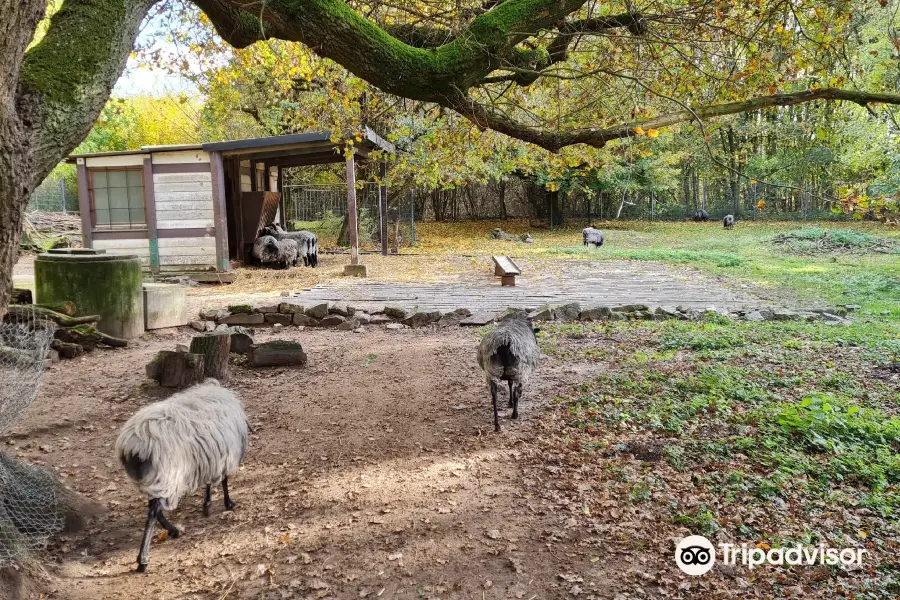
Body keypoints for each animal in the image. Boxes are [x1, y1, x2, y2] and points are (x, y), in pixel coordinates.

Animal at [116, 380, 251, 572]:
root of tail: (134, 446)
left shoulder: (212, 456)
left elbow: (210, 482)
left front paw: (207, 505)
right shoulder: (224, 456)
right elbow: (224, 480)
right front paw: (227, 503)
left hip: (156, 478)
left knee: (154, 507)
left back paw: (173, 531)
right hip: (168, 475)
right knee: (153, 511)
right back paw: (143, 560)